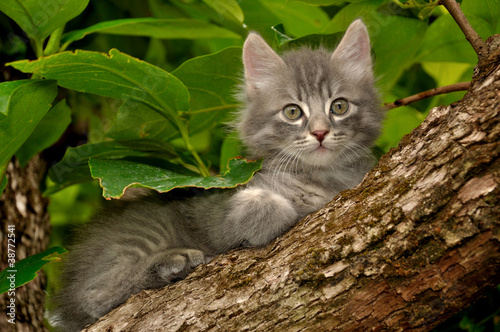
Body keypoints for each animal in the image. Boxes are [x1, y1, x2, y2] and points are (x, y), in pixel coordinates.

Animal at [47, 19, 382, 330]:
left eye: (339, 106)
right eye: (292, 112)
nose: (321, 132)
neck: (320, 175)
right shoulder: (211, 205)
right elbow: (258, 207)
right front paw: (284, 209)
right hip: (148, 228)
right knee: (94, 294)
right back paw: (173, 262)